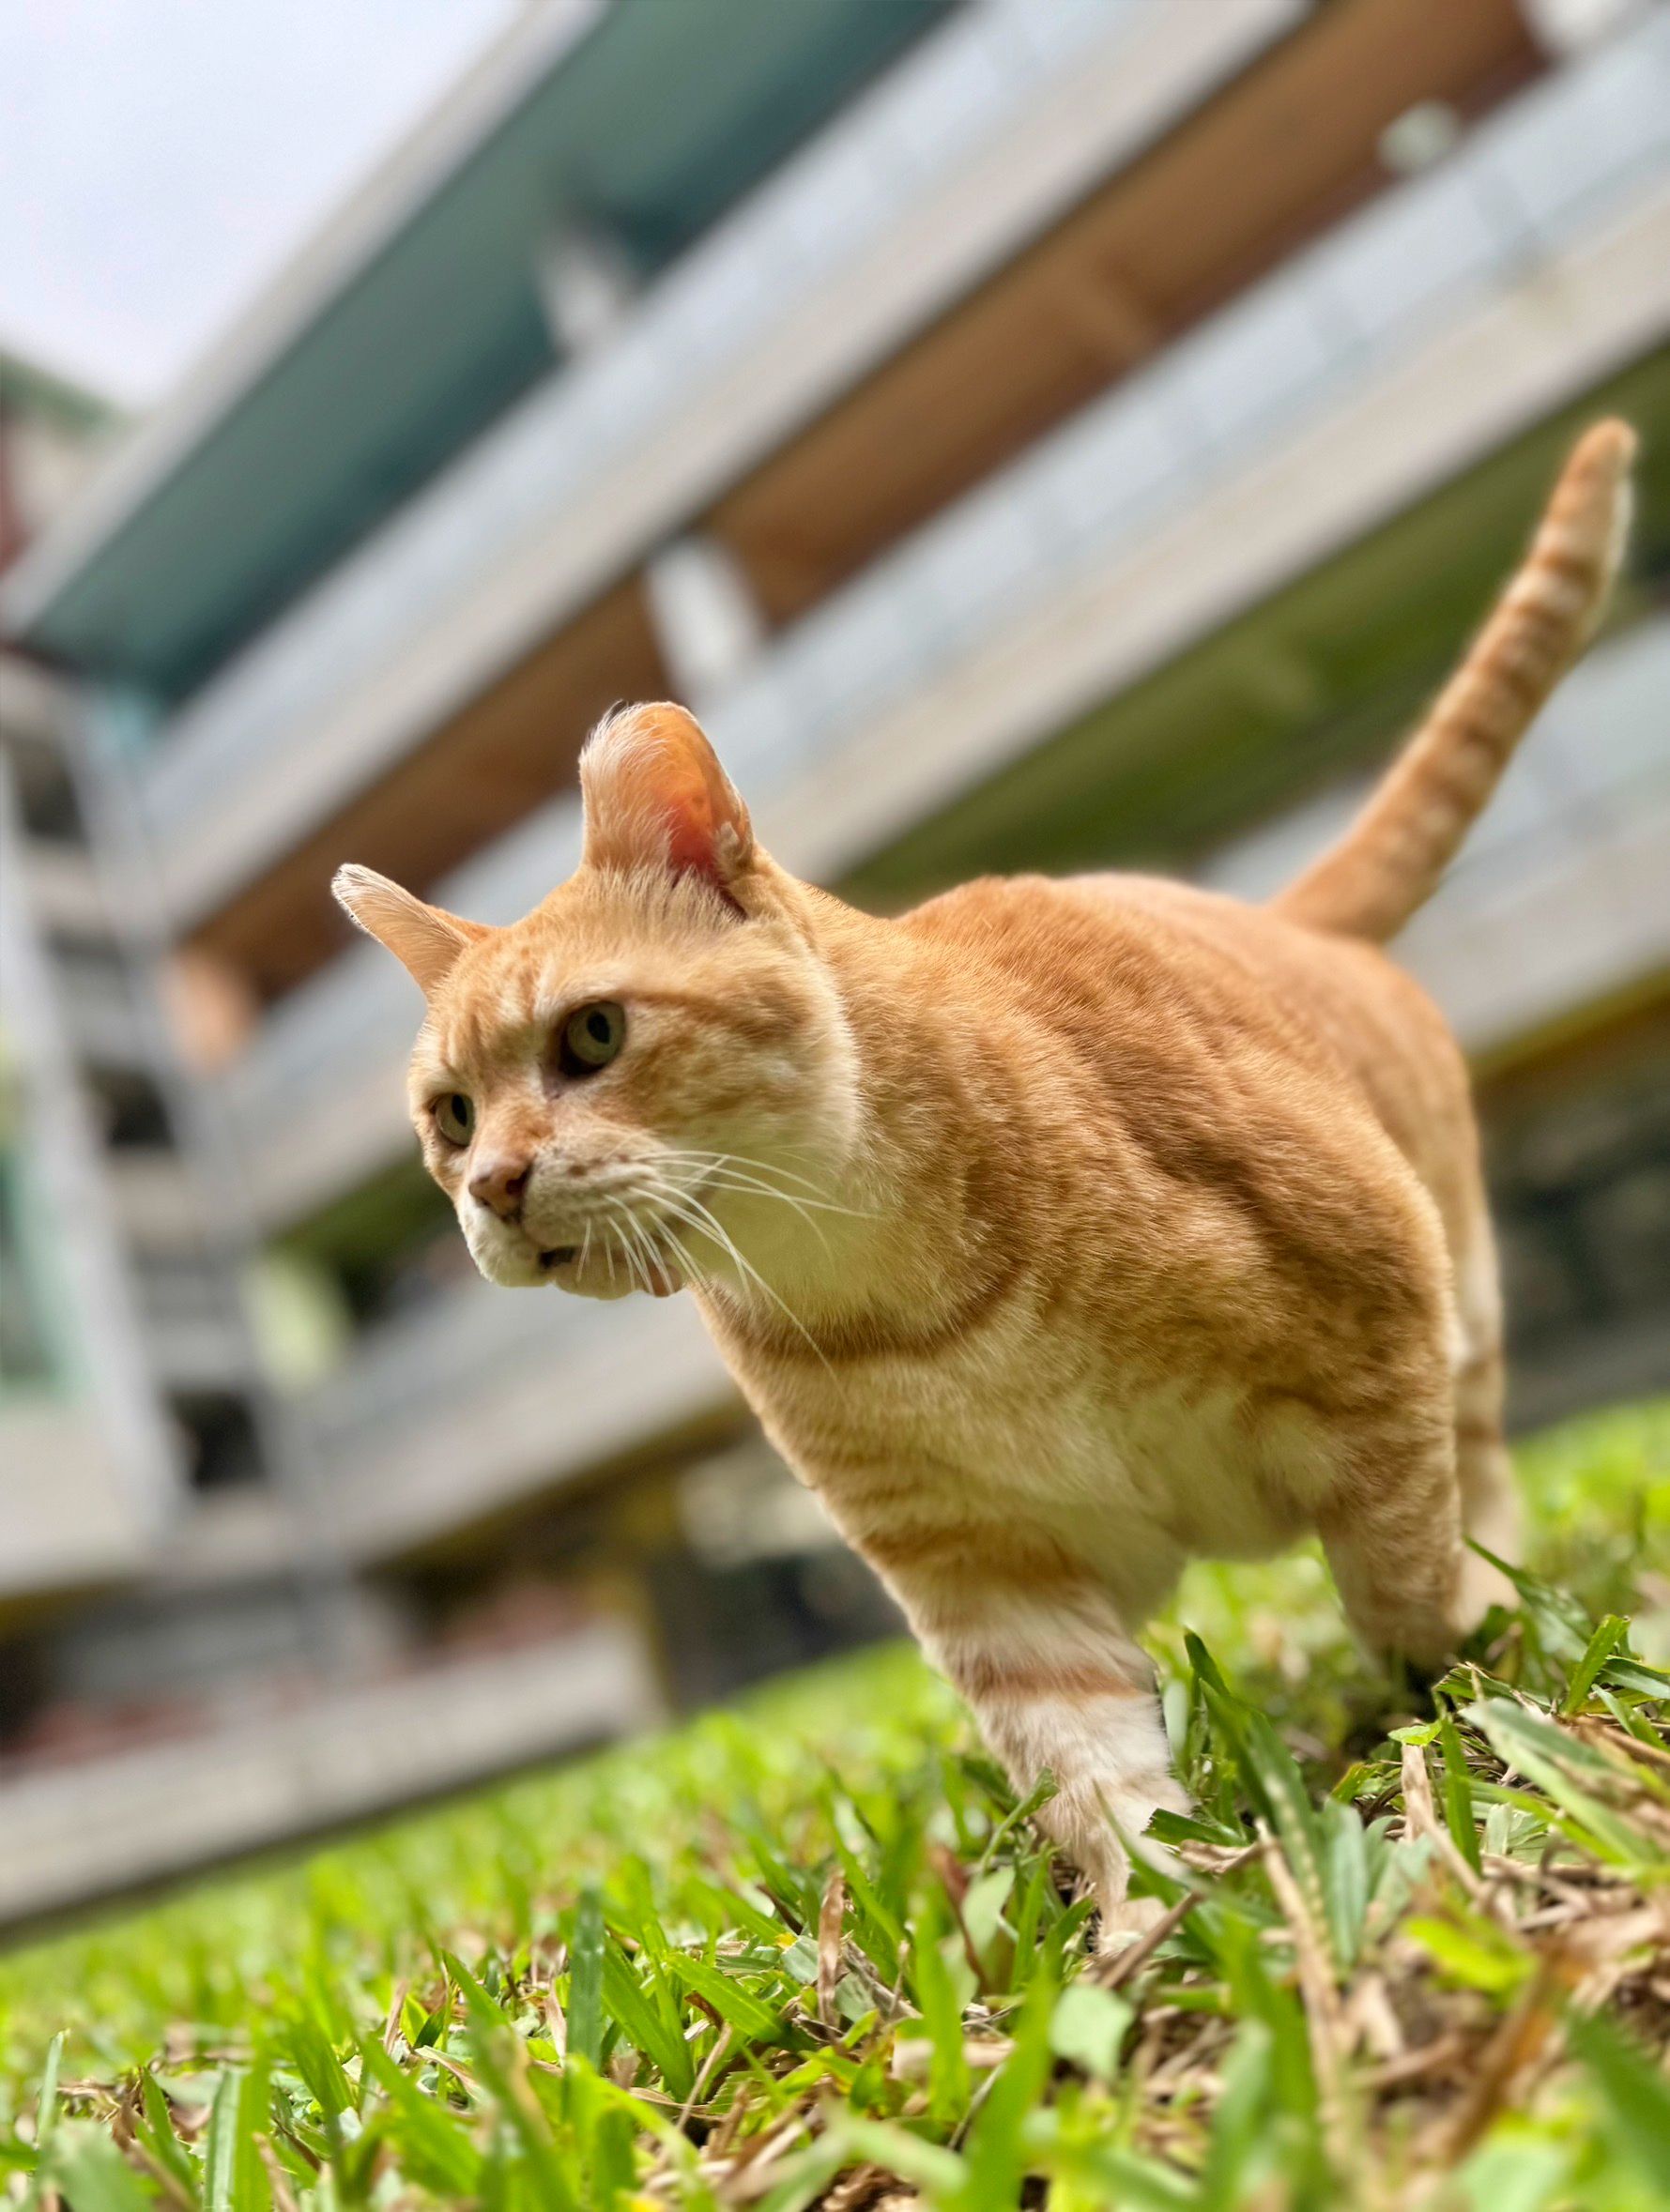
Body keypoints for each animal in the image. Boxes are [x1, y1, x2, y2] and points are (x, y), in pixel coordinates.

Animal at [336, 418, 1636, 1937]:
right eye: (450, 1116)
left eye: (592, 1036)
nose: (491, 1186)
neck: (899, 1289)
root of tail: (1276, 911)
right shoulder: (982, 1572)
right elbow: (1091, 1767)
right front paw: (1151, 1920)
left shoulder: (1381, 1357)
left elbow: (1408, 1591)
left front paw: (1460, 1710)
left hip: (1463, 1311)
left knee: (1477, 1467)